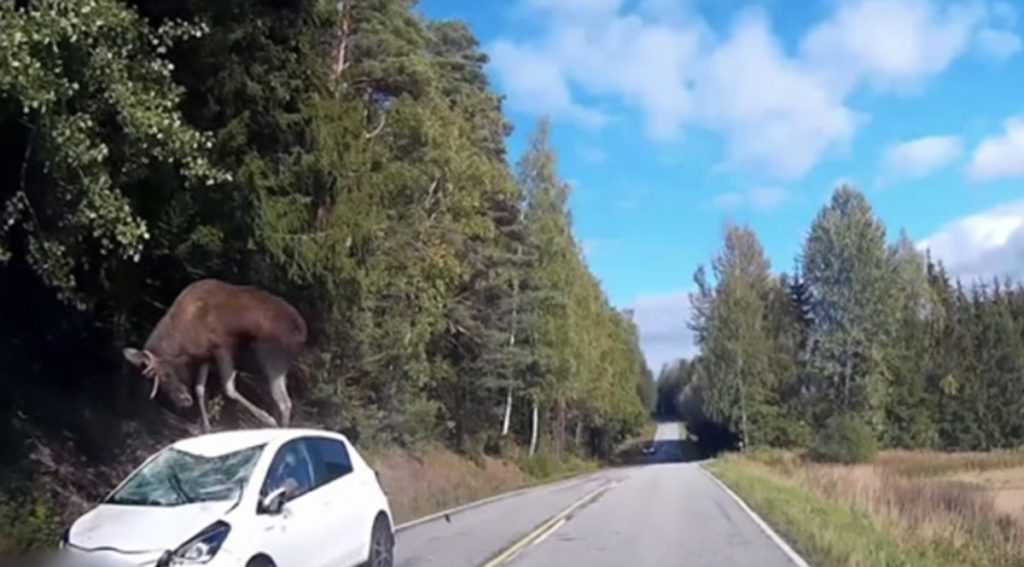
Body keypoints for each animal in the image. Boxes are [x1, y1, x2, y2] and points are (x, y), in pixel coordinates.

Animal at [122, 276, 305, 427]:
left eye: (166, 375)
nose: (183, 400)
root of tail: (302, 329)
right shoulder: (205, 357)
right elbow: (199, 389)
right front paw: (207, 428)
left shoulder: (222, 348)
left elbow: (229, 388)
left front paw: (267, 418)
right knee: (283, 401)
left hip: (270, 355)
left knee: (283, 401)